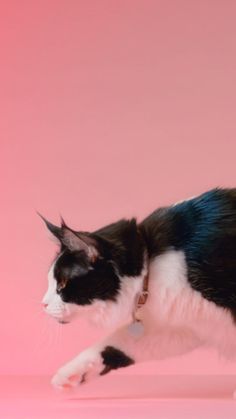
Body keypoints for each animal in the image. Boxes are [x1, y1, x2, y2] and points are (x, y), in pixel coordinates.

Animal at [39, 187, 236, 390]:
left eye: (62, 284)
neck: (151, 264)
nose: (43, 304)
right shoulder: (183, 328)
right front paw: (71, 375)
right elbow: (118, 344)